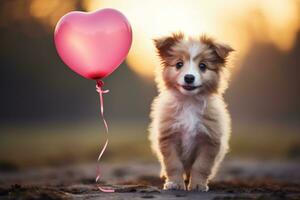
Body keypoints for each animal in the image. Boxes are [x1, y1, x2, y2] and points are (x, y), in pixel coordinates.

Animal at [149, 32, 233, 191]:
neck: (189, 102)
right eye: (179, 64)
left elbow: (201, 166)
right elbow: (173, 164)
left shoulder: (209, 140)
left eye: (203, 66)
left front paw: (198, 185)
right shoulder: (169, 137)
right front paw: (174, 183)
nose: (189, 77)